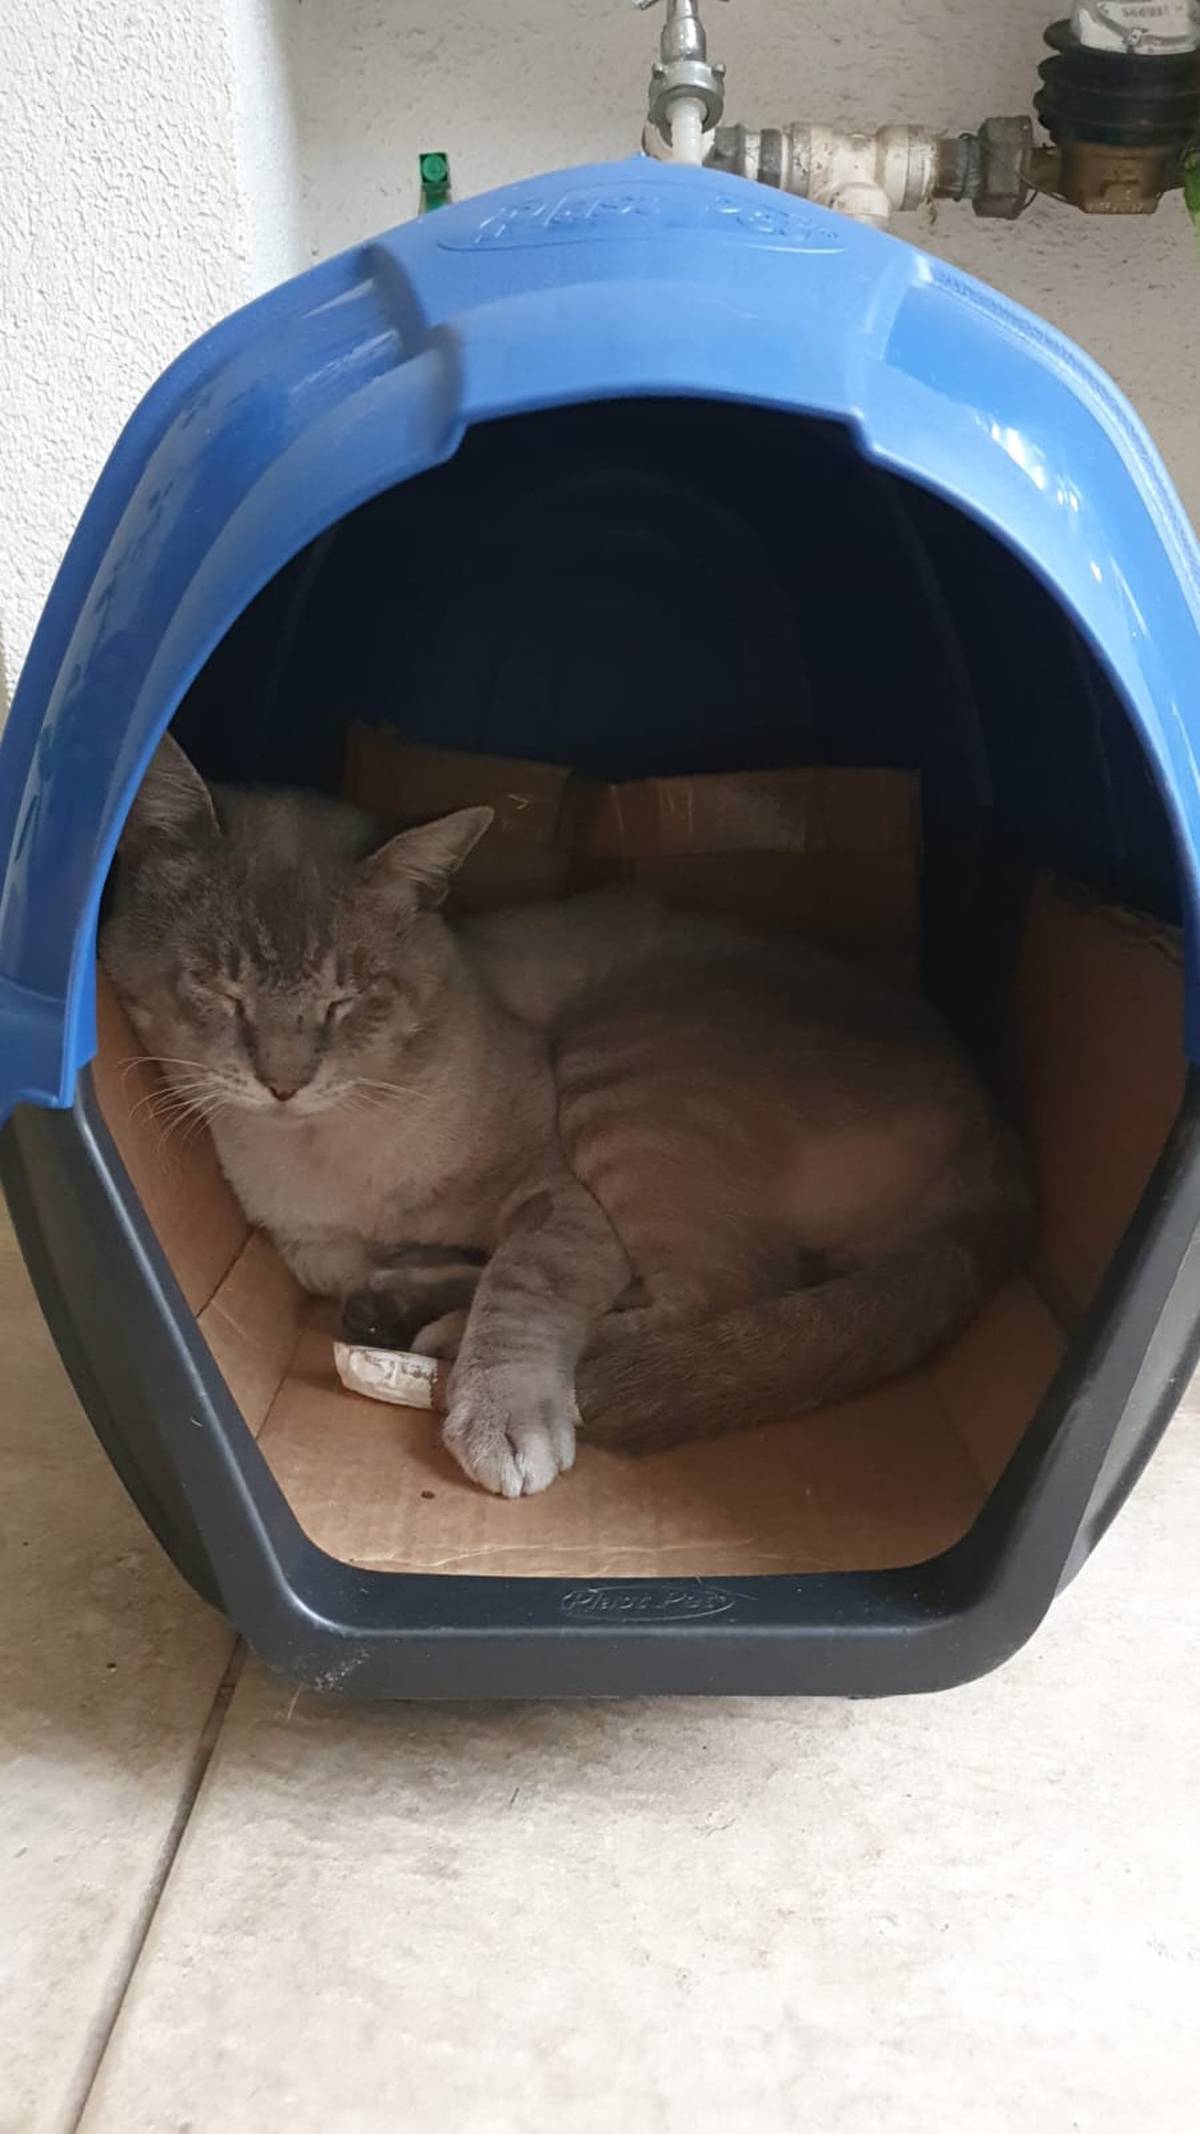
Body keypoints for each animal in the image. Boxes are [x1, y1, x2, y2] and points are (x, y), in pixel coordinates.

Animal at [101, 735, 1033, 1497]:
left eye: (347, 998)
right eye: (220, 989)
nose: (284, 1083)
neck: (322, 1150)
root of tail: (1002, 1140)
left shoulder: (561, 1198)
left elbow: (525, 1288)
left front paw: (505, 1419)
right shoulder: (312, 1244)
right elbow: (352, 1264)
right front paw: (399, 1288)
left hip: (619, 1065)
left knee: (718, 1297)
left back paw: (445, 1345)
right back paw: (400, 1318)